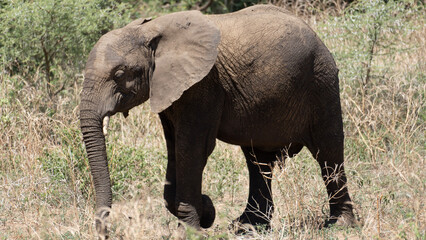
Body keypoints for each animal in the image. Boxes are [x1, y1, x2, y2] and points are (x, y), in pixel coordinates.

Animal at [79, 4, 356, 236]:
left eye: (119, 74)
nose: (105, 233)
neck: (149, 30)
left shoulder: (204, 85)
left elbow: (192, 149)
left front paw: (191, 228)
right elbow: (174, 147)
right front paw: (205, 211)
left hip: (322, 80)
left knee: (328, 151)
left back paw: (339, 226)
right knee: (258, 161)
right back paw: (248, 227)